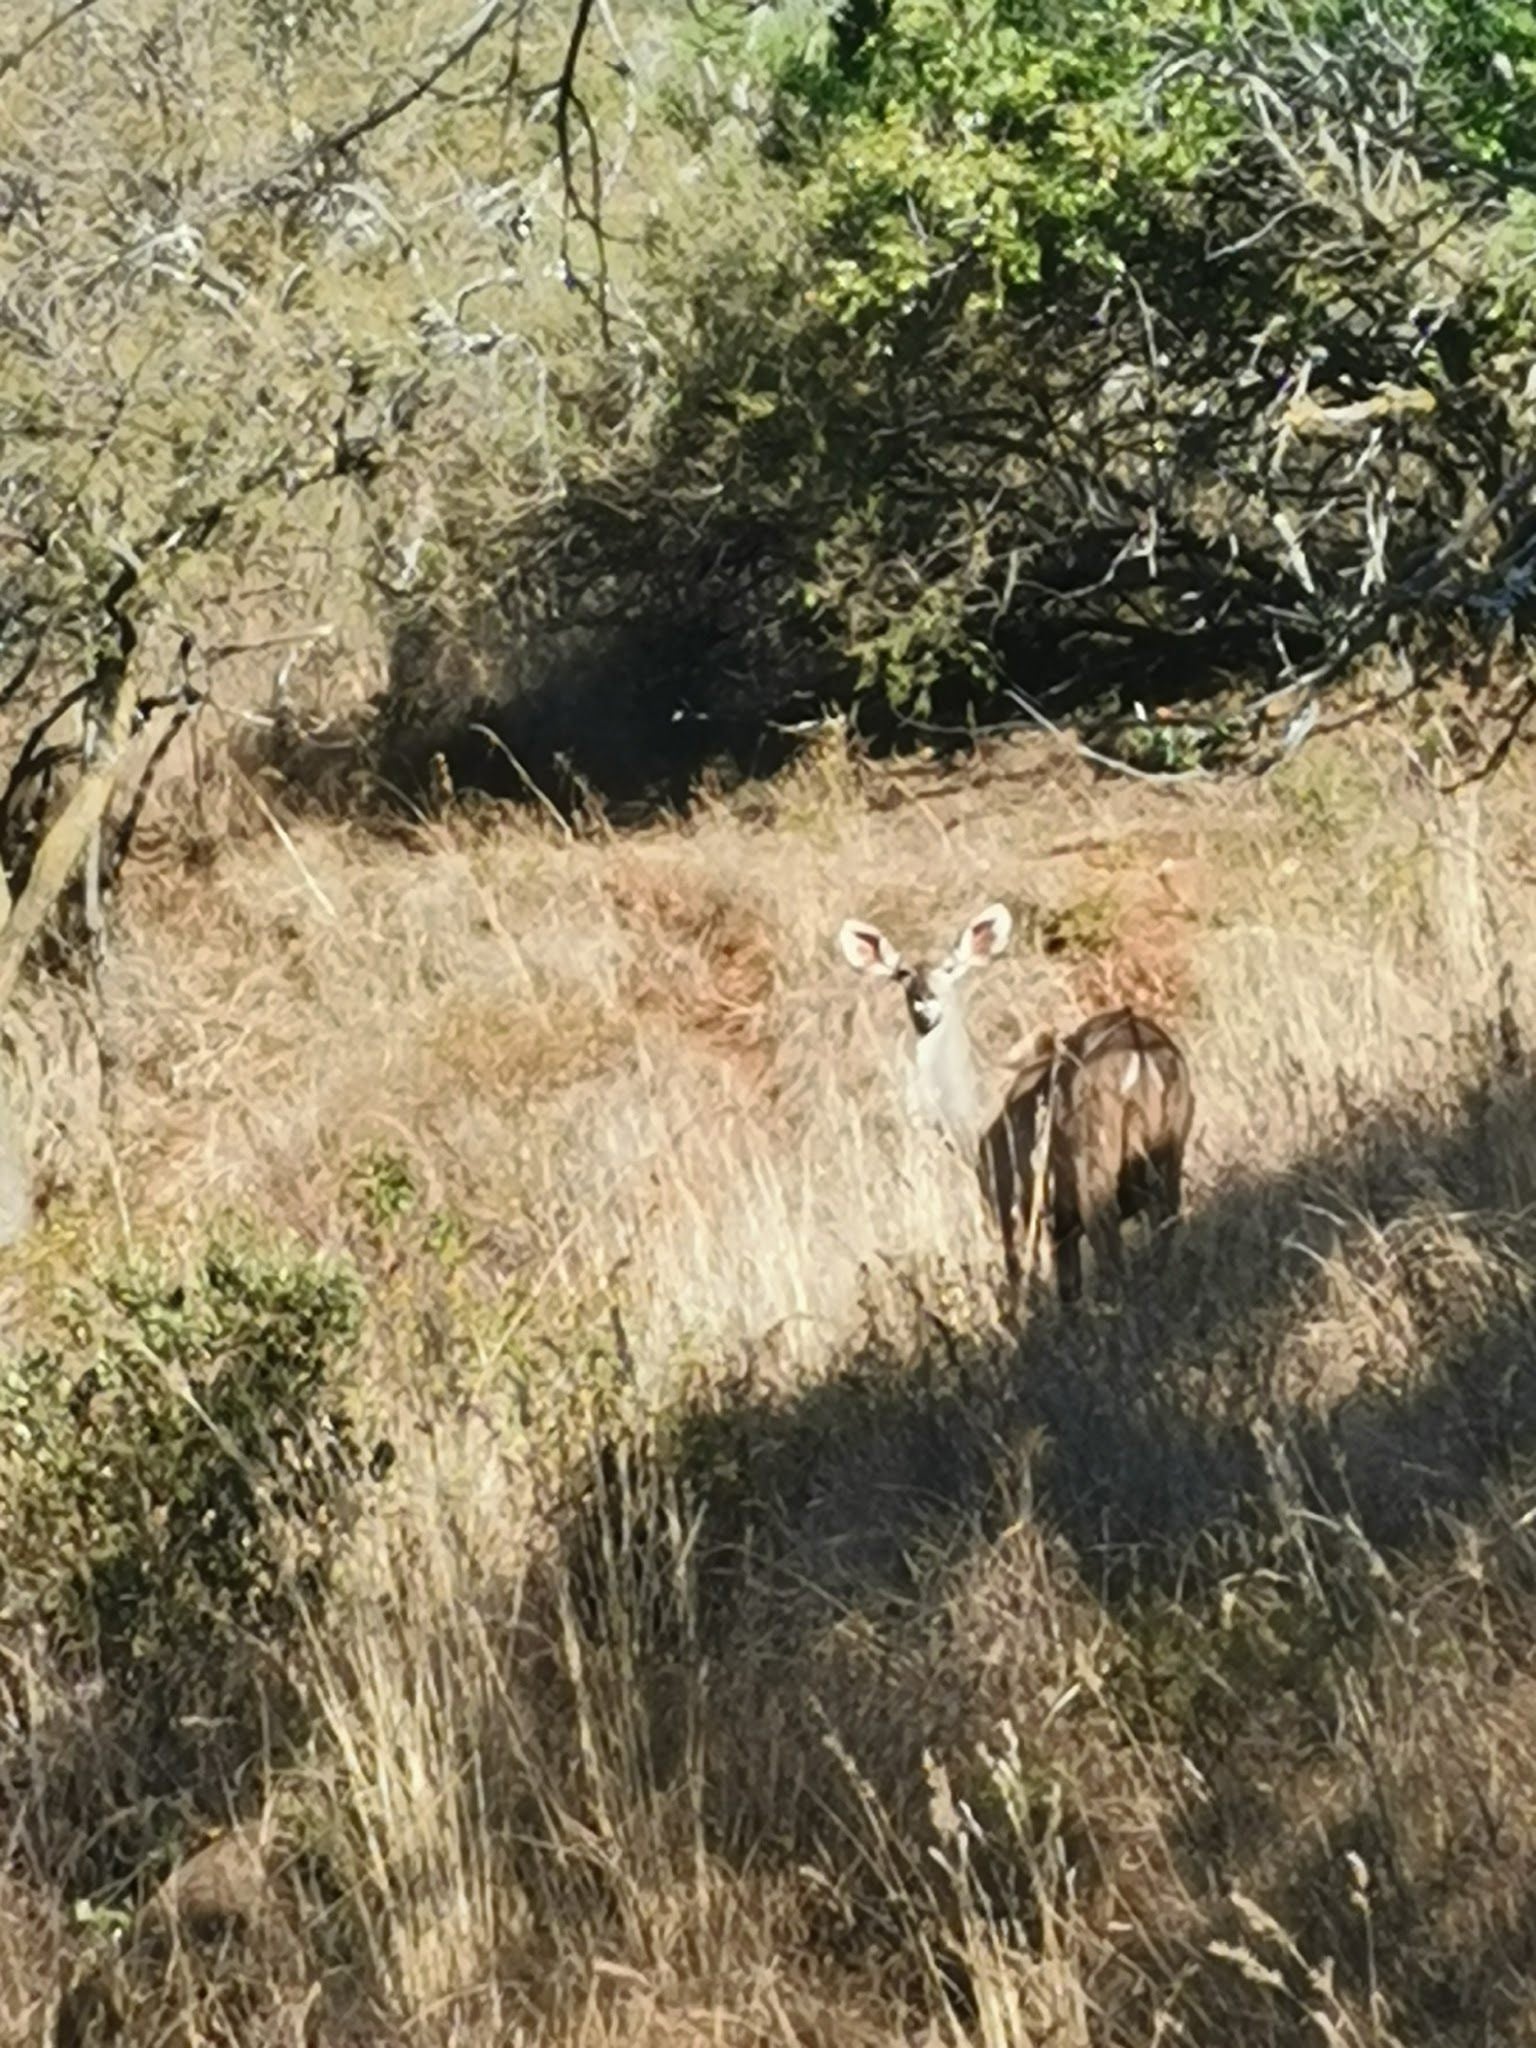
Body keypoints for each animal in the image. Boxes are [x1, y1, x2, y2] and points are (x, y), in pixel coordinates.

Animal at [835, 905, 1196, 1302]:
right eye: (903, 974)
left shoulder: (1011, 1197)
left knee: (1113, 1253)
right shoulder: (1058, 1222)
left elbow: (1027, 1277)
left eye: (950, 967)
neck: (974, 1115)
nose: (924, 999)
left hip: (1092, 1160)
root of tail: (1142, 1054)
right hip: (1169, 1147)